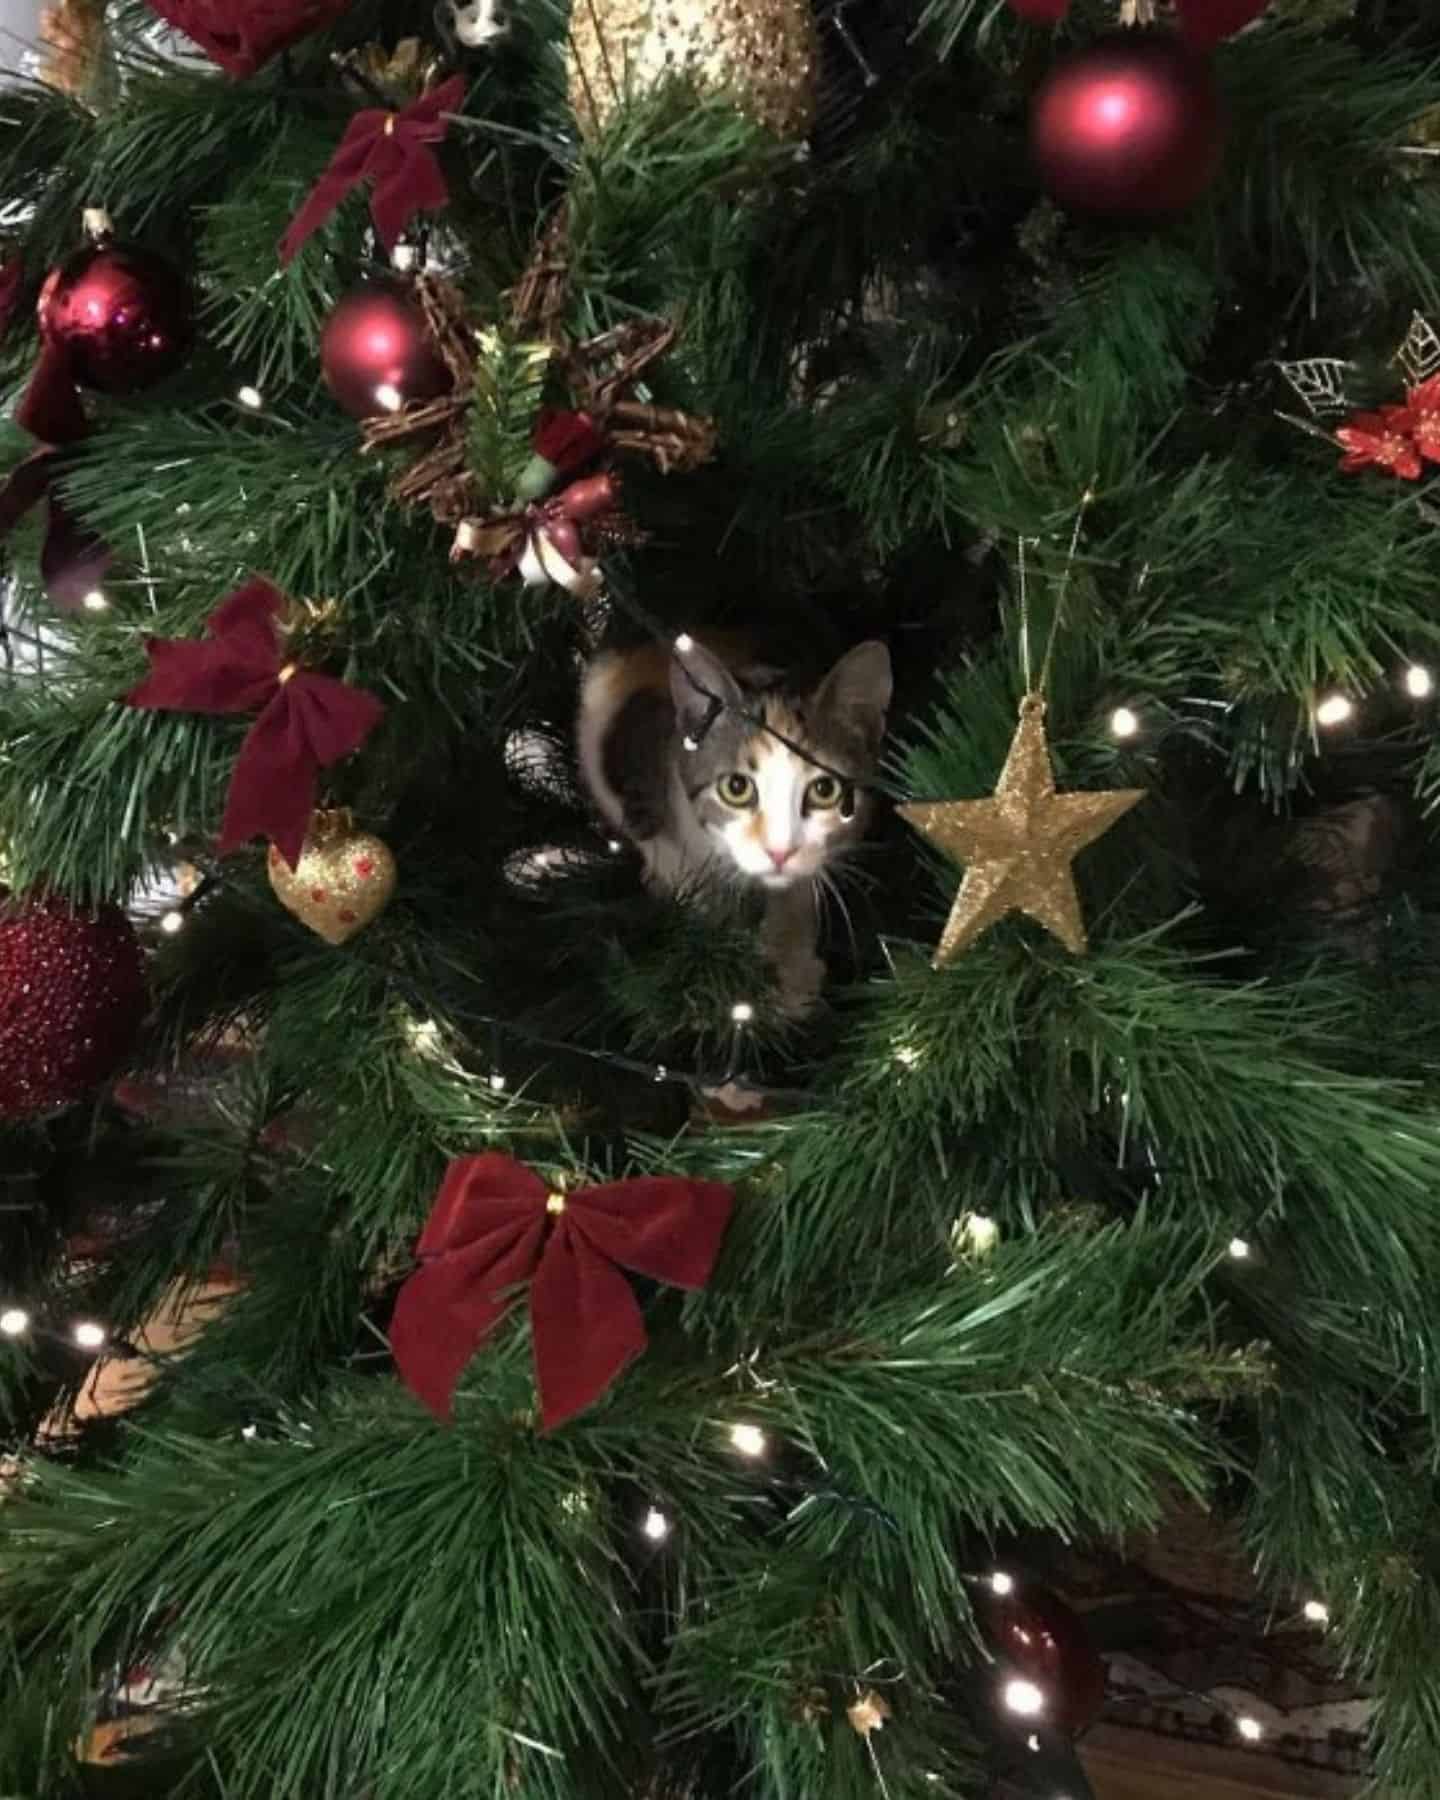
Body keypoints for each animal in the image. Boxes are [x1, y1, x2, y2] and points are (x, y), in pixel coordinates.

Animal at [572, 633, 889, 1015]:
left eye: (825, 790)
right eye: (736, 788)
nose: (779, 851)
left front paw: (791, 962)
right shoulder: (624, 745)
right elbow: (669, 852)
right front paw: (718, 920)